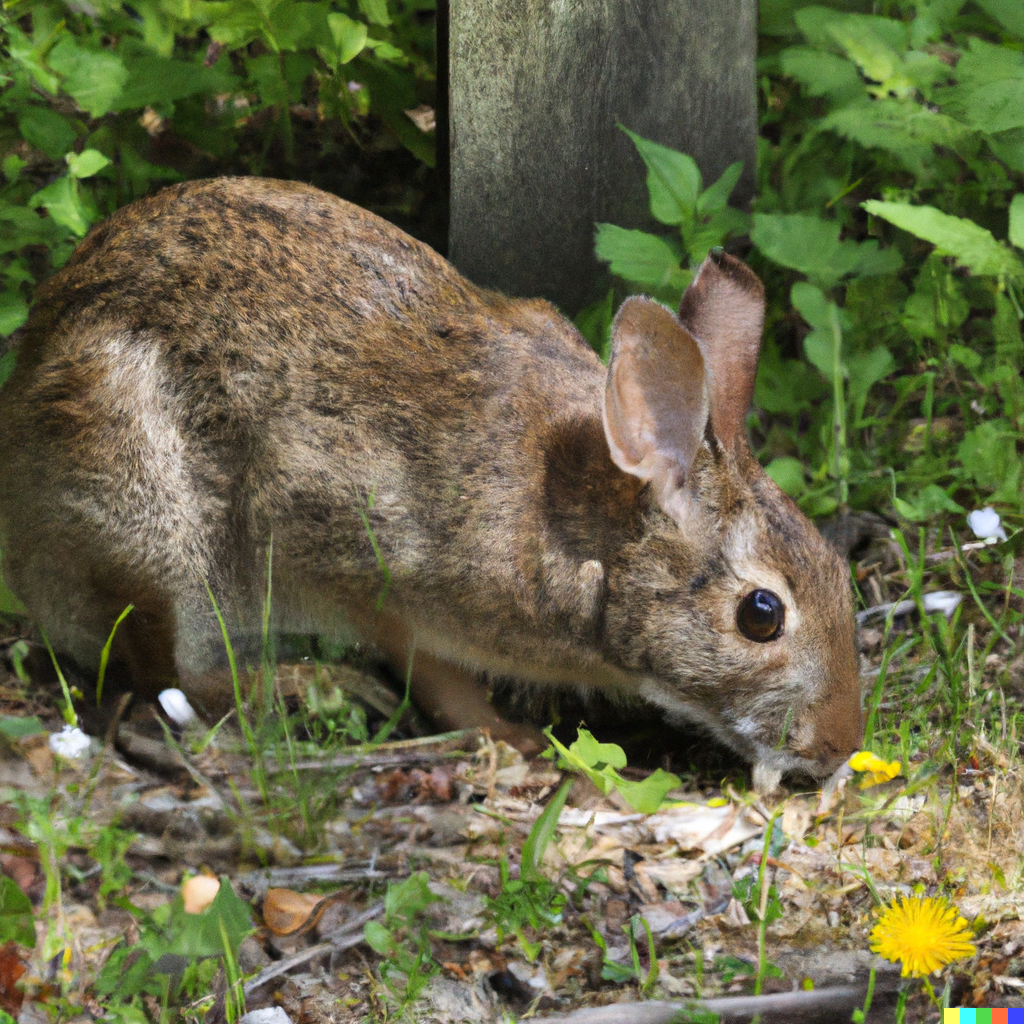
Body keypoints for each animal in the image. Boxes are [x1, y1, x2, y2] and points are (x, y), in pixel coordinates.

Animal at [0, 178, 864, 782]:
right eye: (760, 616)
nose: (841, 743)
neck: (586, 531)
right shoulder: (354, 551)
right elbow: (430, 667)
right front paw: (510, 735)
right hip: (152, 530)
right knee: (173, 676)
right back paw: (321, 685)